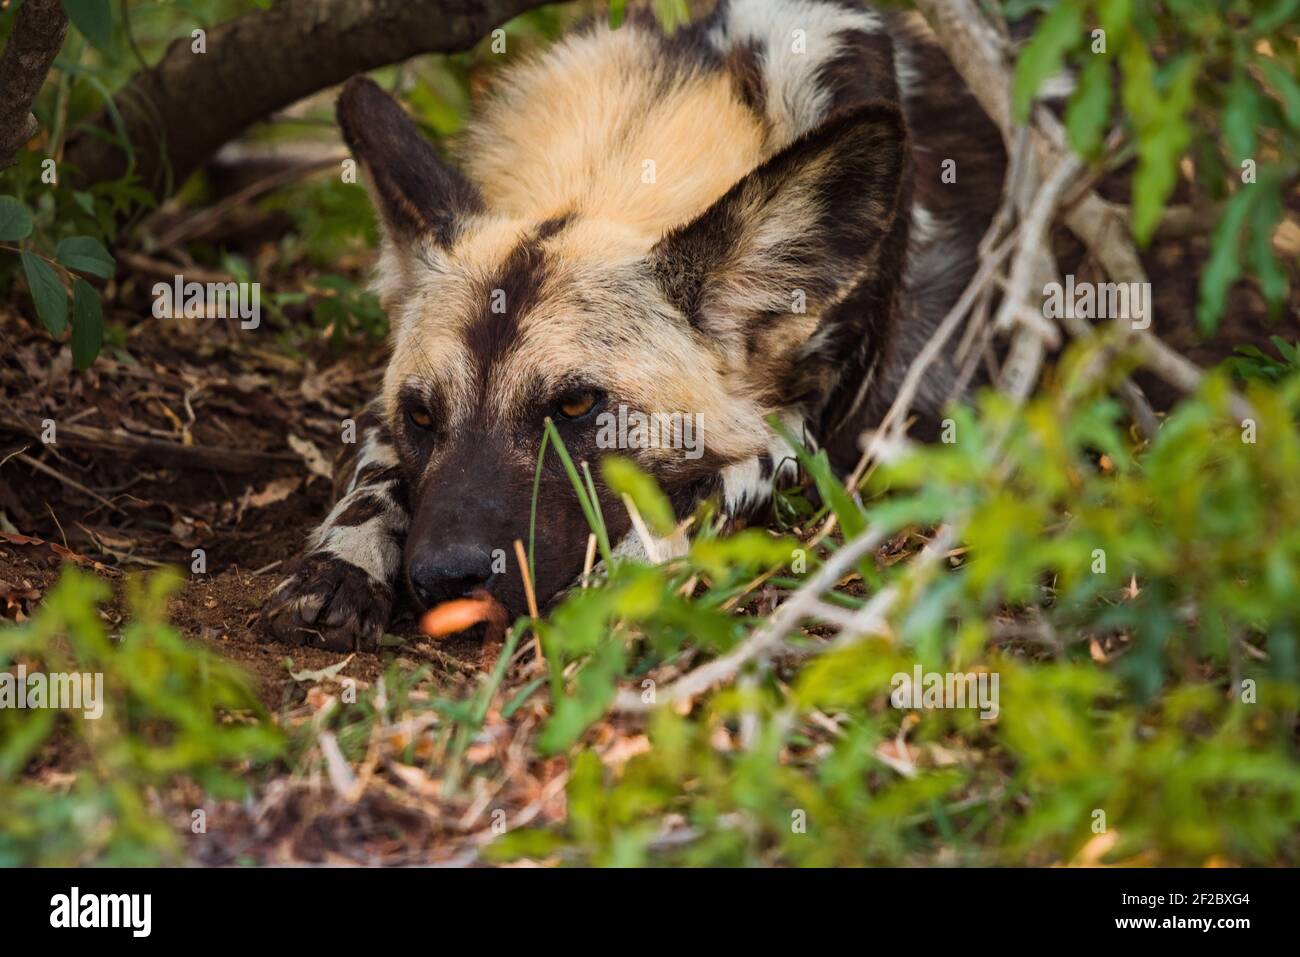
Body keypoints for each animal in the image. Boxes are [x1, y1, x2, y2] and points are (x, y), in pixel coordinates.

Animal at [256, 0, 1003, 650]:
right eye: (420, 416)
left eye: (577, 405)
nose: (444, 575)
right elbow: (371, 465)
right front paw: (341, 562)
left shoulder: (814, 425)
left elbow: (719, 481)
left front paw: (620, 577)